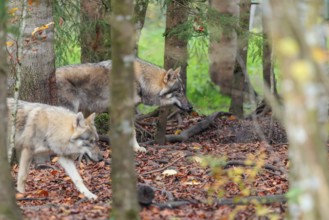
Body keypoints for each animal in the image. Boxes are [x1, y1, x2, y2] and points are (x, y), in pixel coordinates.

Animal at [56, 57, 192, 152]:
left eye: (183, 91)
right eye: (179, 91)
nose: (191, 107)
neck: (141, 81)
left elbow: (127, 132)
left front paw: (133, 148)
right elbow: (126, 132)